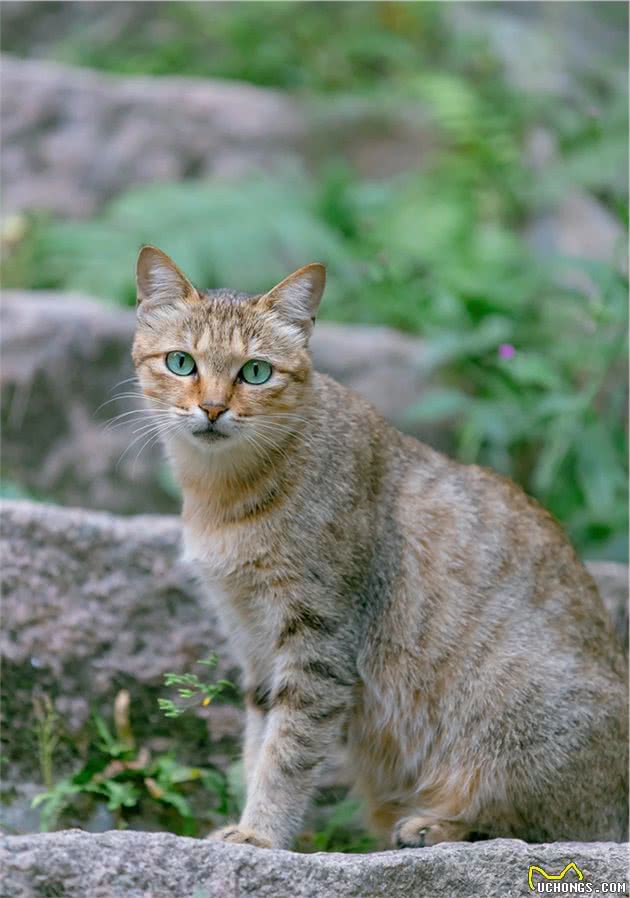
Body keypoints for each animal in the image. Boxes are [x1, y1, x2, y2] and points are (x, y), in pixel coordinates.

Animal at [131, 243, 628, 848]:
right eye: (181, 363)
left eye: (255, 371)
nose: (212, 409)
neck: (222, 496)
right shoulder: (252, 640)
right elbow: (258, 742)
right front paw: (252, 824)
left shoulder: (319, 644)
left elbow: (287, 753)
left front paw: (260, 835)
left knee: (541, 827)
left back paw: (436, 826)